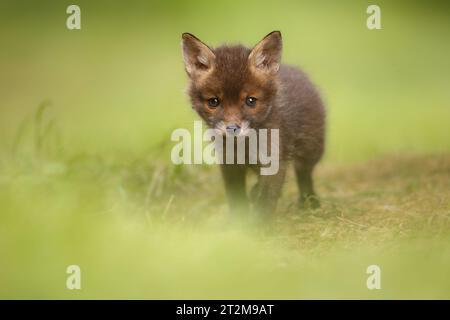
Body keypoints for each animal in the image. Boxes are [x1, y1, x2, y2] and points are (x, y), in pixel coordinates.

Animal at [181, 31, 326, 216]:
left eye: (251, 100)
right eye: (213, 102)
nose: (232, 129)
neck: (245, 147)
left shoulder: (274, 162)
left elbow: (266, 201)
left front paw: (260, 223)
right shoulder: (229, 164)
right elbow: (237, 200)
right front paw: (239, 223)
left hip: (311, 152)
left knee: (304, 175)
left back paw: (310, 202)